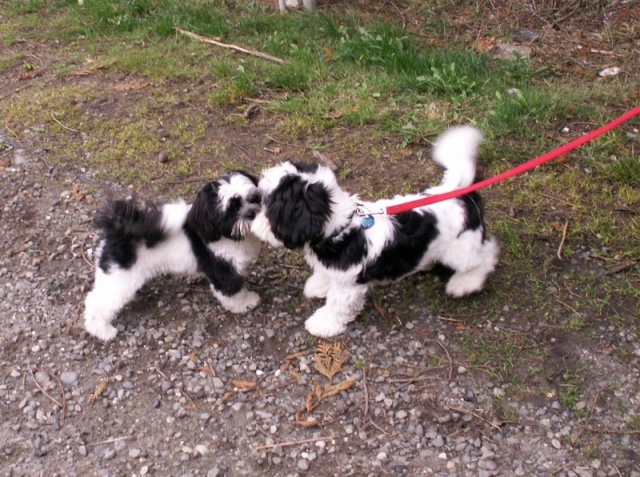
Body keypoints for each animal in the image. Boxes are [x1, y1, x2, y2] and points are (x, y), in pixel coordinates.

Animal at [84, 171, 262, 342]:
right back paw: (101, 330)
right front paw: (246, 302)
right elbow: (233, 292)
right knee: (97, 302)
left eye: (253, 198)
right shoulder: (223, 270)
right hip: (120, 277)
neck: (222, 233)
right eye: (232, 209)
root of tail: (118, 230)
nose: (251, 213)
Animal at [252, 124, 498, 336]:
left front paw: (323, 323)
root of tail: (460, 192)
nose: (252, 211)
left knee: (487, 255)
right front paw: (319, 284)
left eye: (269, 206)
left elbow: (337, 305)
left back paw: (465, 283)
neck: (342, 227)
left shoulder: (348, 286)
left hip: (461, 249)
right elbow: (325, 274)